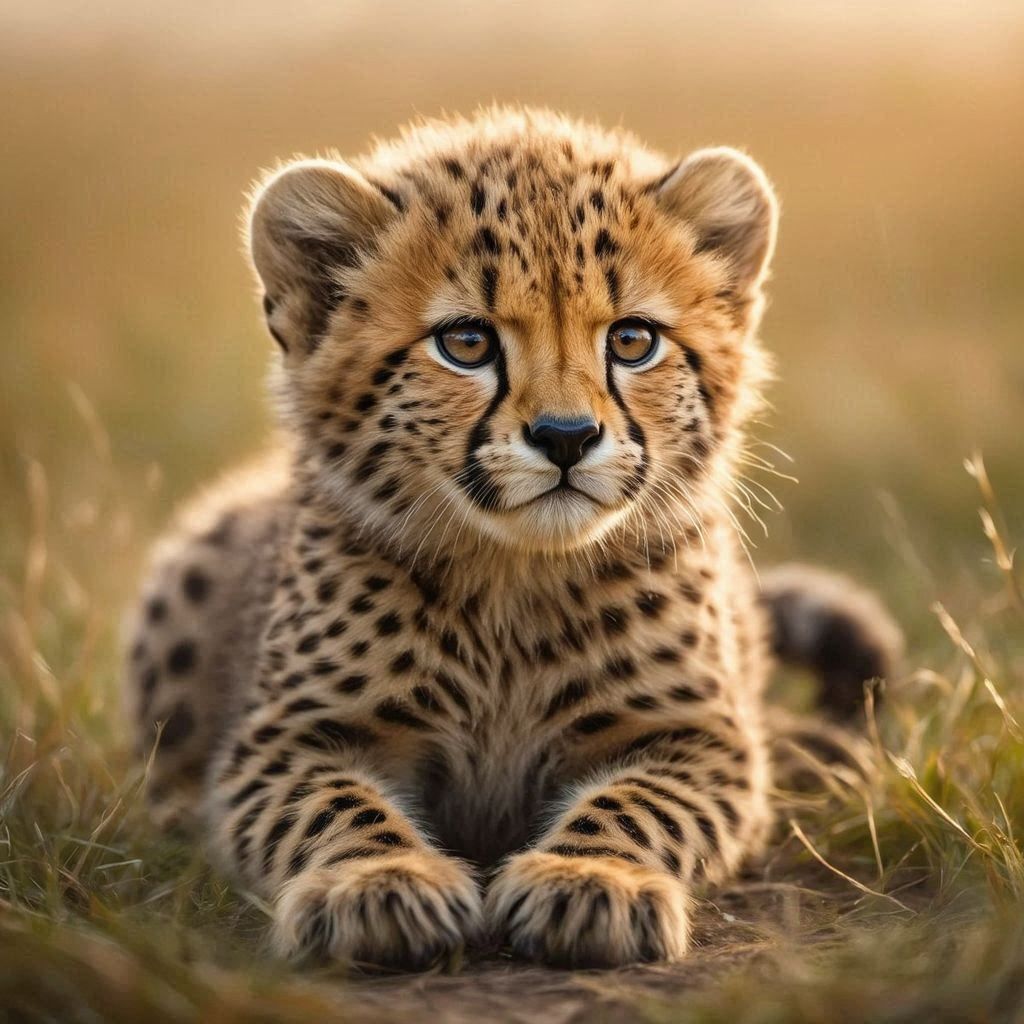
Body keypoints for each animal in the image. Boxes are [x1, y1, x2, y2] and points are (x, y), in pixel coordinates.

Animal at [123, 107, 901, 970]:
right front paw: (378, 881)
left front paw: (593, 878)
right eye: (466, 342)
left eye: (632, 341)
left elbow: (642, 800)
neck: (514, 577)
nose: (566, 437)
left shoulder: (700, 737)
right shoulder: (283, 739)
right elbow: (329, 806)